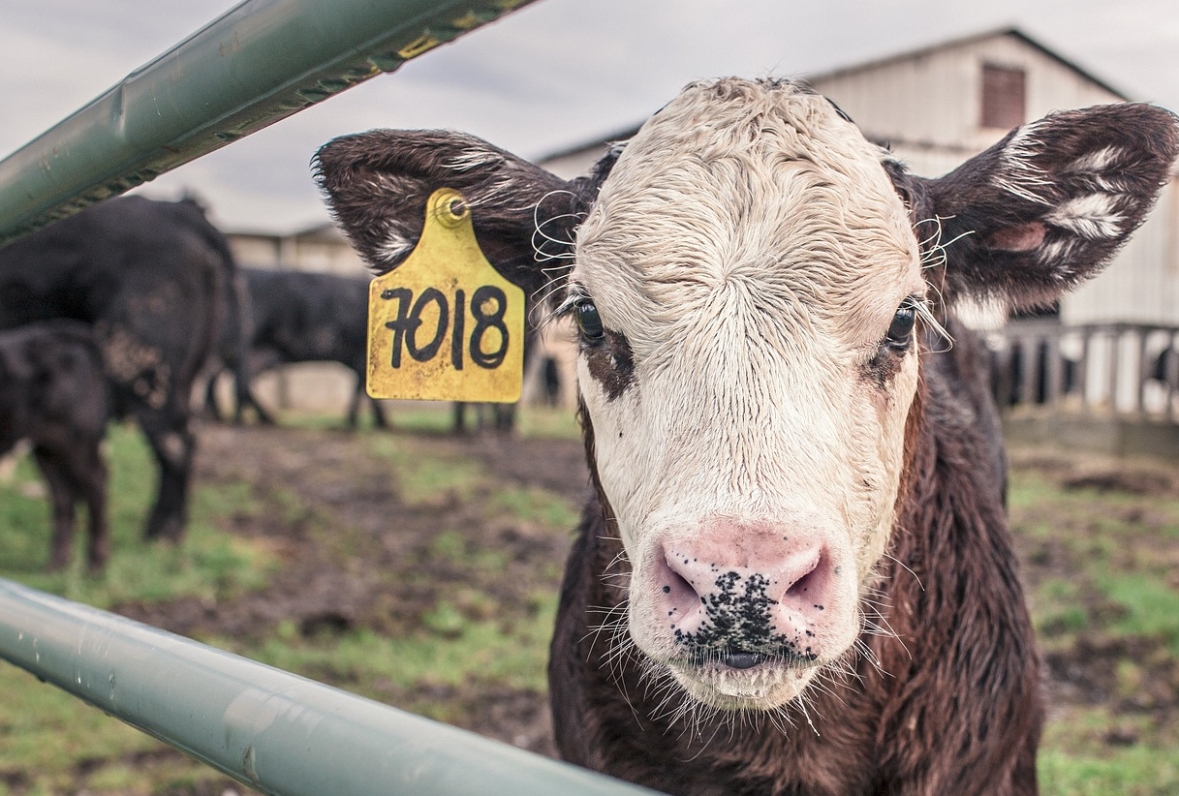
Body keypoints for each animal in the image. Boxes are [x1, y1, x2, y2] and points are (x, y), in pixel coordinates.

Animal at [0, 320, 109, 570]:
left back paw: (95, 565)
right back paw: (58, 564)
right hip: (47, 447)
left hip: (76, 442)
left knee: (96, 484)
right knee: (63, 496)